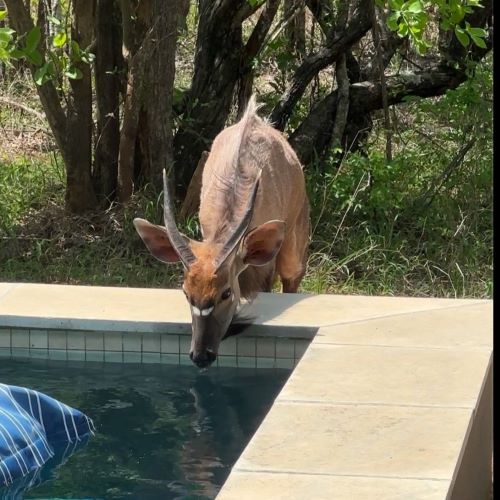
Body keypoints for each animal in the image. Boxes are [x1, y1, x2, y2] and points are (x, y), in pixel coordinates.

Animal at [135, 97, 310, 370]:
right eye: (186, 292)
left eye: (226, 292)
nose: (200, 356)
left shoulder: (263, 267)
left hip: (294, 241)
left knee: (292, 275)